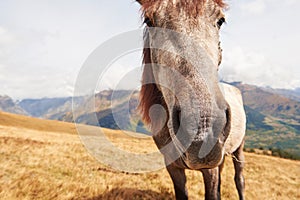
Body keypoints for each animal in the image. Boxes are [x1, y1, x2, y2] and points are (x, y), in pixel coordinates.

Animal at [137, 0, 245, 200]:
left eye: (220, 20)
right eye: (149, 21)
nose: (204, 132)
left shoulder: (210, 170)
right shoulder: (173, 167)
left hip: (239, 149)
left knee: (239, 180)